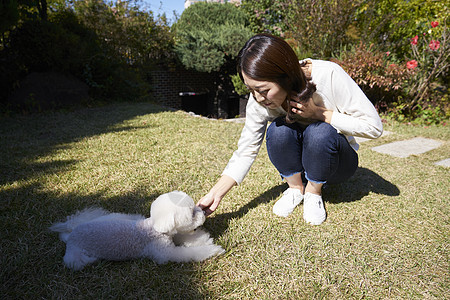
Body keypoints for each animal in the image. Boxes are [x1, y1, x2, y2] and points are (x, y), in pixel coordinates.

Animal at [49, 191, 225, 270]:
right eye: (192, 213)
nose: (203, 212)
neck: (155, 228)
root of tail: (71, 234)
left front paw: (203, 239)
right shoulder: (166, 253)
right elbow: (189, 253)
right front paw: (212, 249)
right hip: (76, 258)